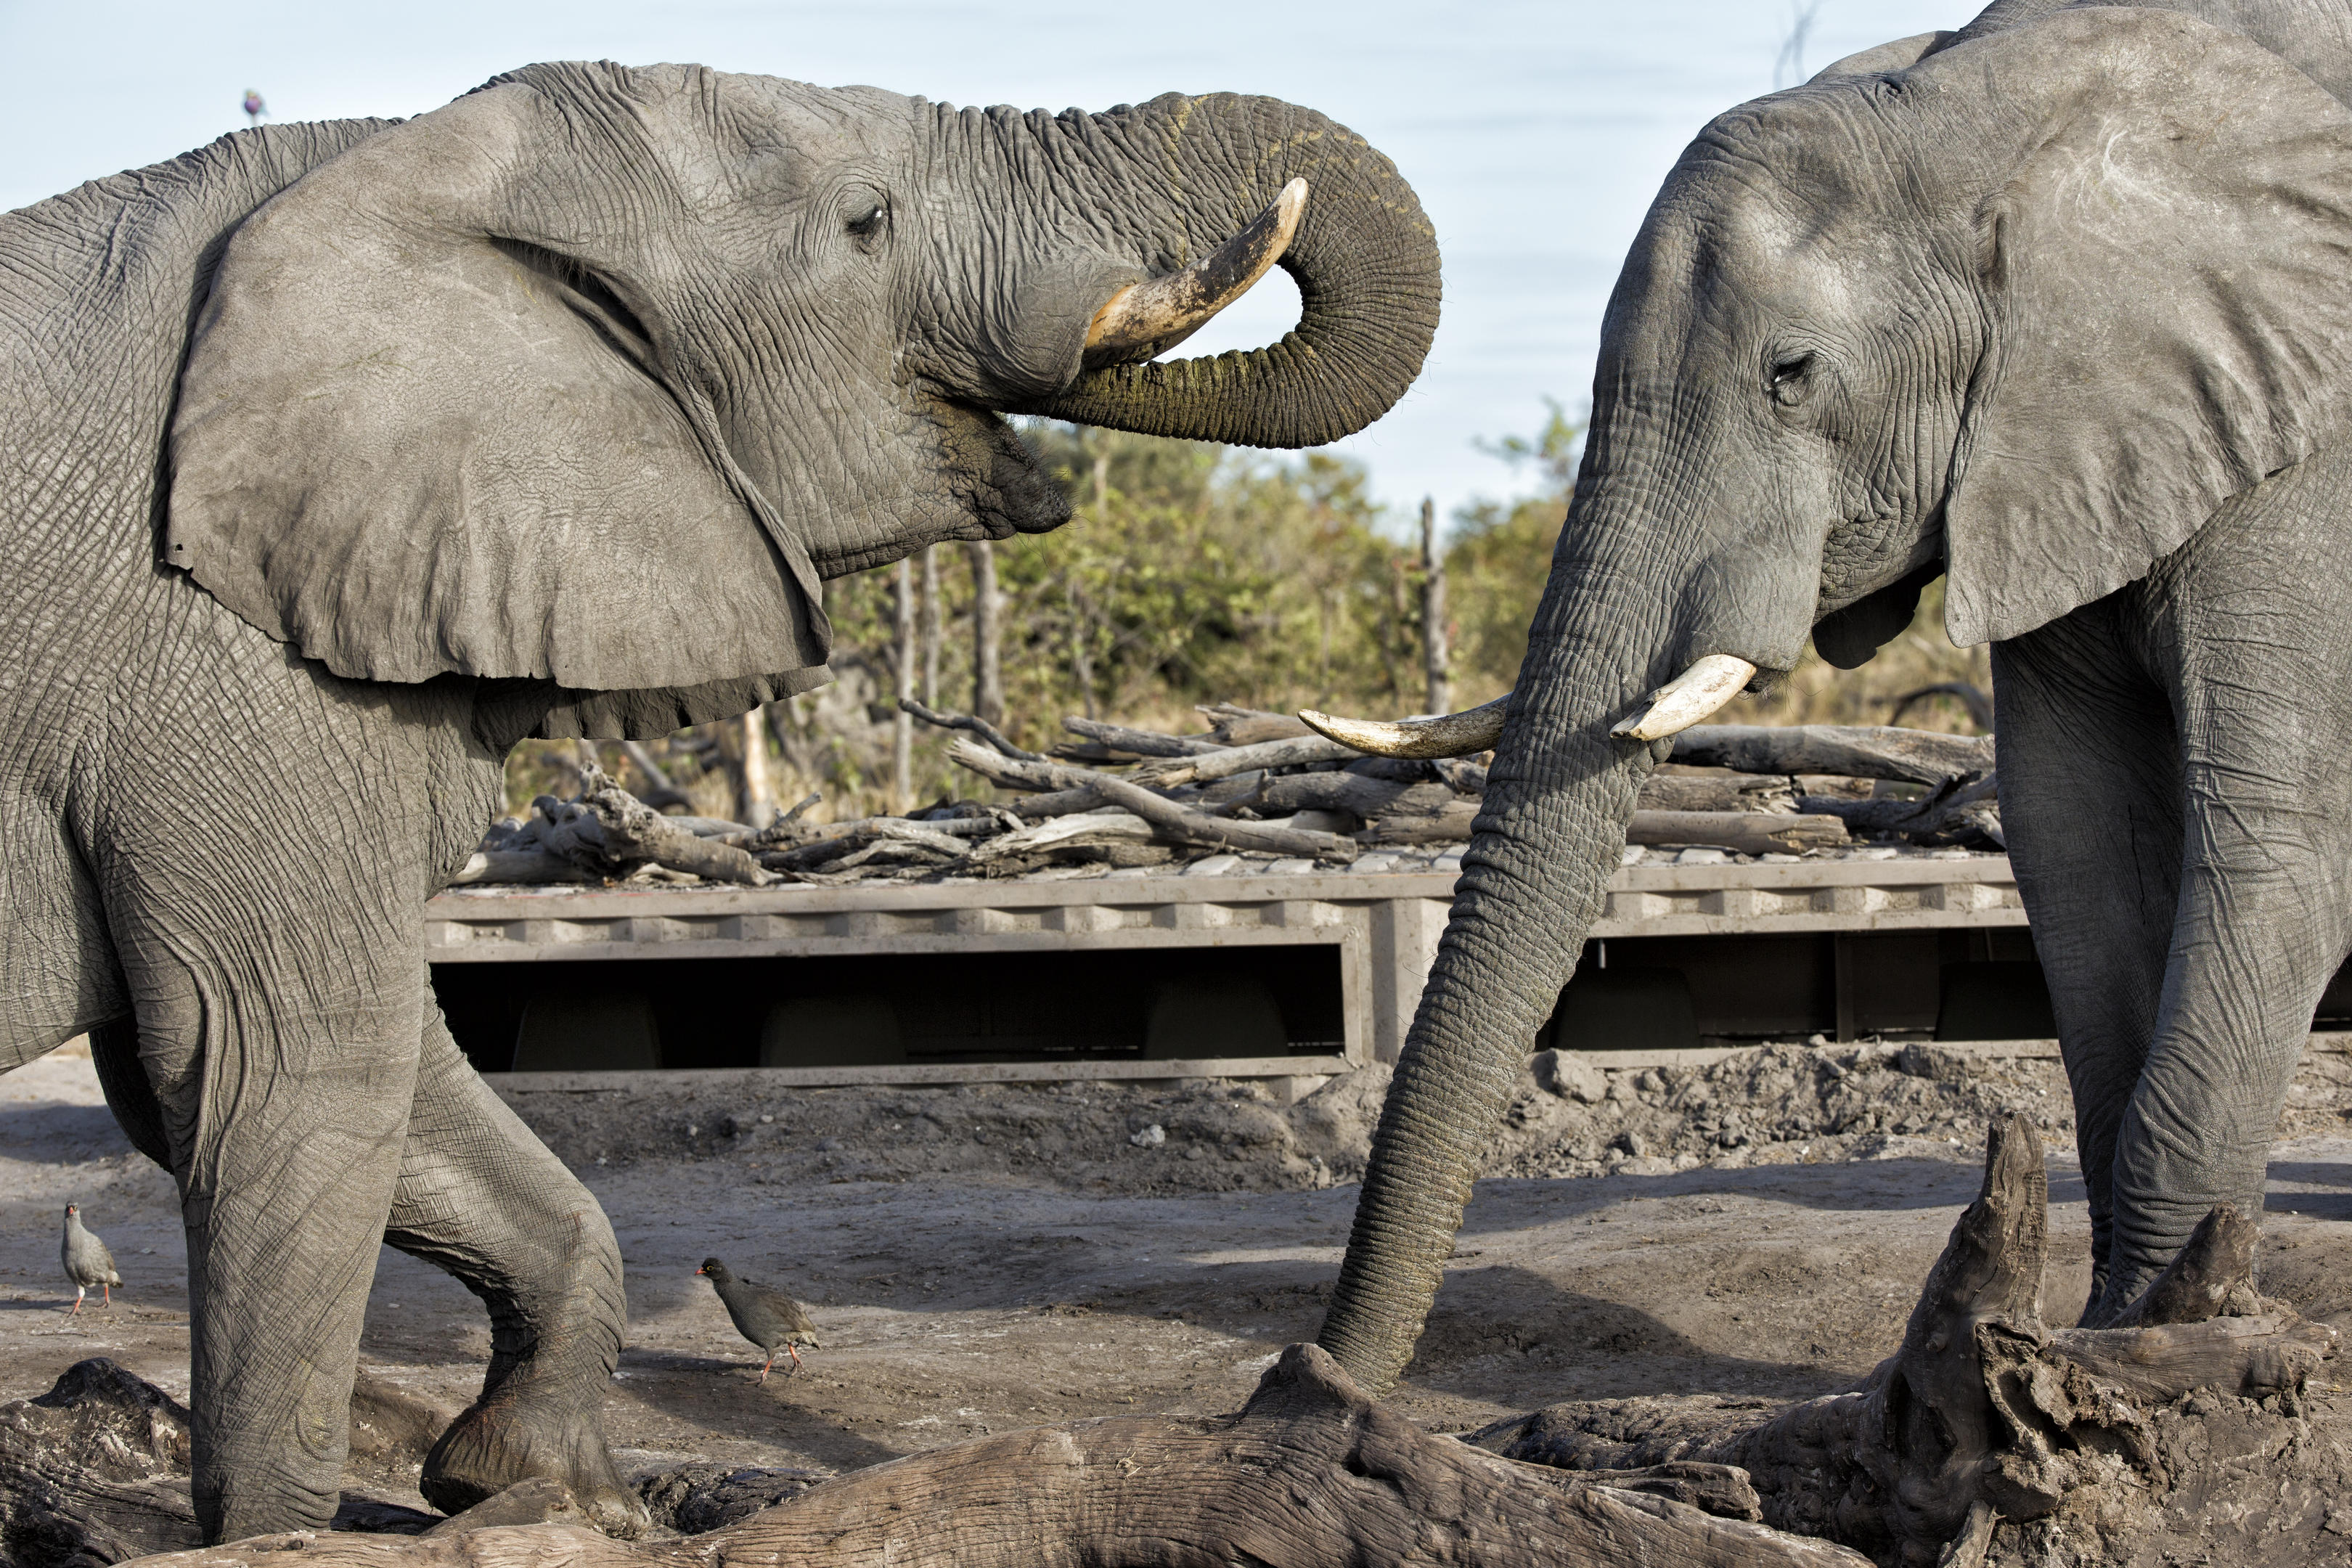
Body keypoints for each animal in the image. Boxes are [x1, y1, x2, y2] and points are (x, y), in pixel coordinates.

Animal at [0, 64, 1438, 1539]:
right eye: (866, 223)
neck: (397, 155)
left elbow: (364, 1086)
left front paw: (540, 1490)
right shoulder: (224, 663)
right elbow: (297, 1064)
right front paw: (288, 1539)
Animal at [1306, 0, 2352, 1394]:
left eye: (1791, 373)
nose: (1318, 1379)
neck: (1996, 111)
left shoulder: (2309, 440)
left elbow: (2274, 840)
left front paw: (2159, 1348)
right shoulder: (2064, 444)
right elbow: (2080, 838)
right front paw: (2112, 1331)